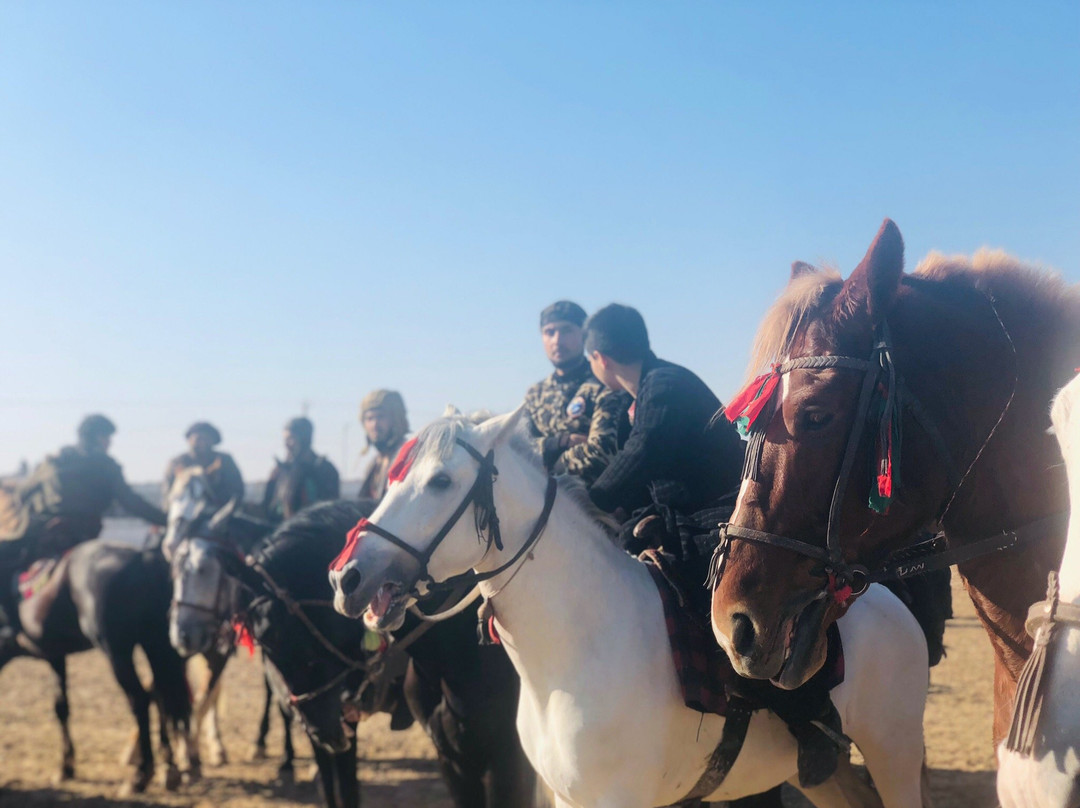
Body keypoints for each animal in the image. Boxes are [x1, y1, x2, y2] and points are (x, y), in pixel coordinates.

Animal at [0, 540, 192, 790]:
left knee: (140, 699)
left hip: (116, 652)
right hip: (154, 644)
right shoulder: (55, 656)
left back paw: (141, 774)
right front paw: (66, 767)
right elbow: (62, 707)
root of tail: (144, 558)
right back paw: (169, 767)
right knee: (161, 694)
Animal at [328, 410, 928, 808]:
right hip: (825, 777)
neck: (576, 651)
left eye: (440, 481)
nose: (346, 576)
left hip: (895, 753)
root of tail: (887, 602)